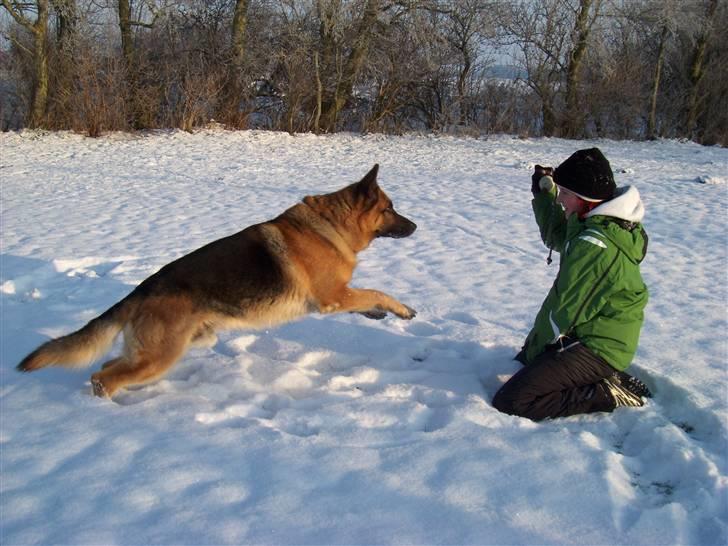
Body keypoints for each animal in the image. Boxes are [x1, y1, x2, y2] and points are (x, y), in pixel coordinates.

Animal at [17, 164, 416, 398]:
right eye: (390, 209)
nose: (415, 226)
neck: (332, 225)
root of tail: (143, 290)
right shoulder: (333, 296)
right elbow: (376, 291)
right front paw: (401, 309)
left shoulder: (340, 296)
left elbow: (366, 298)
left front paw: (378, 313)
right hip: (161, 356)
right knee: (105, 378)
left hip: (176, 345)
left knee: (105, 368)